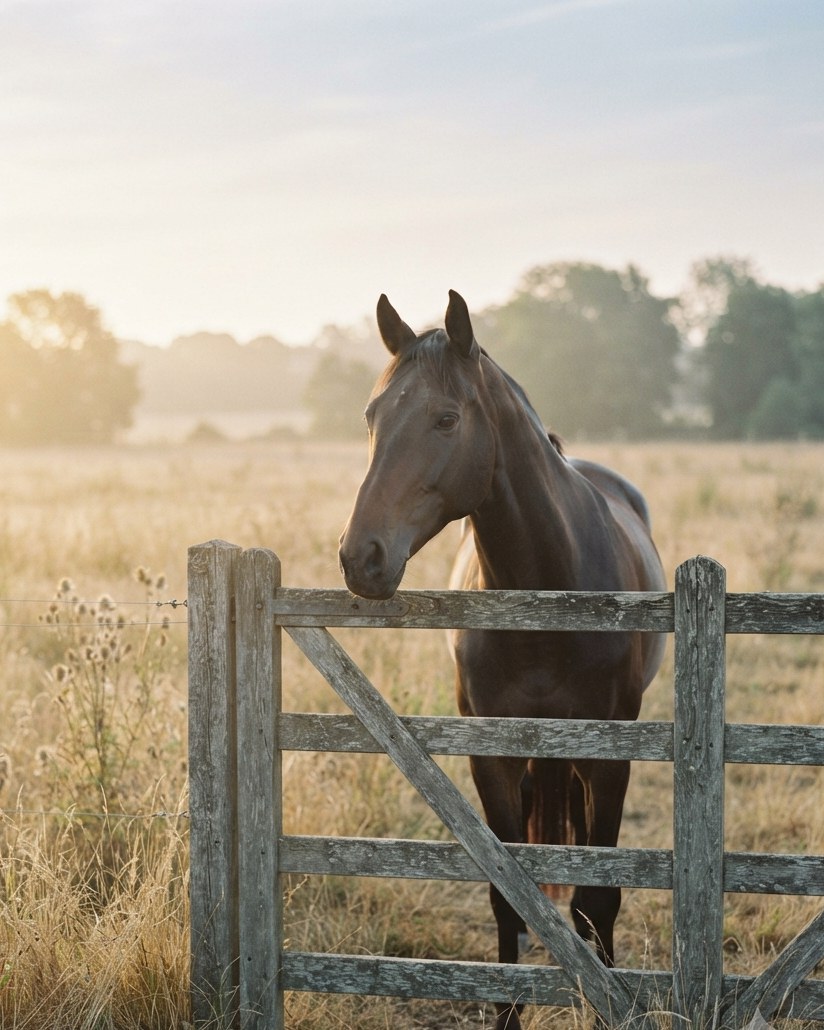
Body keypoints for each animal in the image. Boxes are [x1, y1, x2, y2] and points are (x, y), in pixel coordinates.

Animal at [338, 290, 666, 1030]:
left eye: (446, 417)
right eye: (371, 415)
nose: (360, 556)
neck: (548, 592)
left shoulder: (609, 757)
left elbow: (599, 897)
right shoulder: (491, 754)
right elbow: (507, 896)